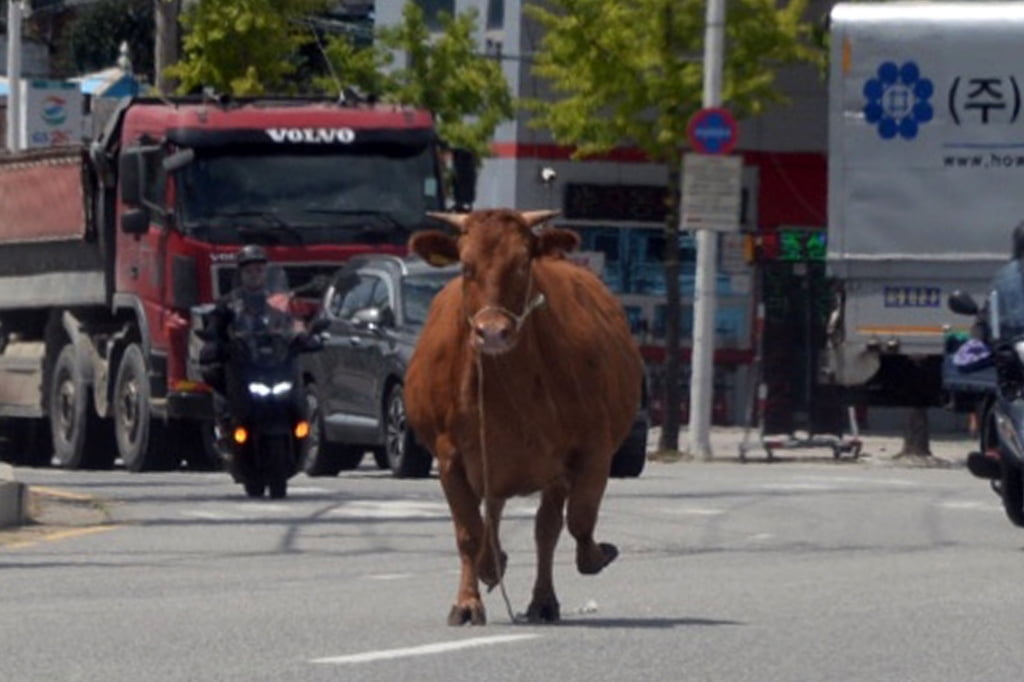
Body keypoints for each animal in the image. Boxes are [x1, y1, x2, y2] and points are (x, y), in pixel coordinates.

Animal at [405, 205, 638, 622]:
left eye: (523, 264)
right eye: (466, 266)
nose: (493, 332)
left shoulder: (590, 450)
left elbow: (579, 520)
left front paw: (596, 556)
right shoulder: (450, 458)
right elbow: (468, 532)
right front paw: (467, 602)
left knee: (546, 528)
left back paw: (542, 599)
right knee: (493, 515)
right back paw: (492, 566)